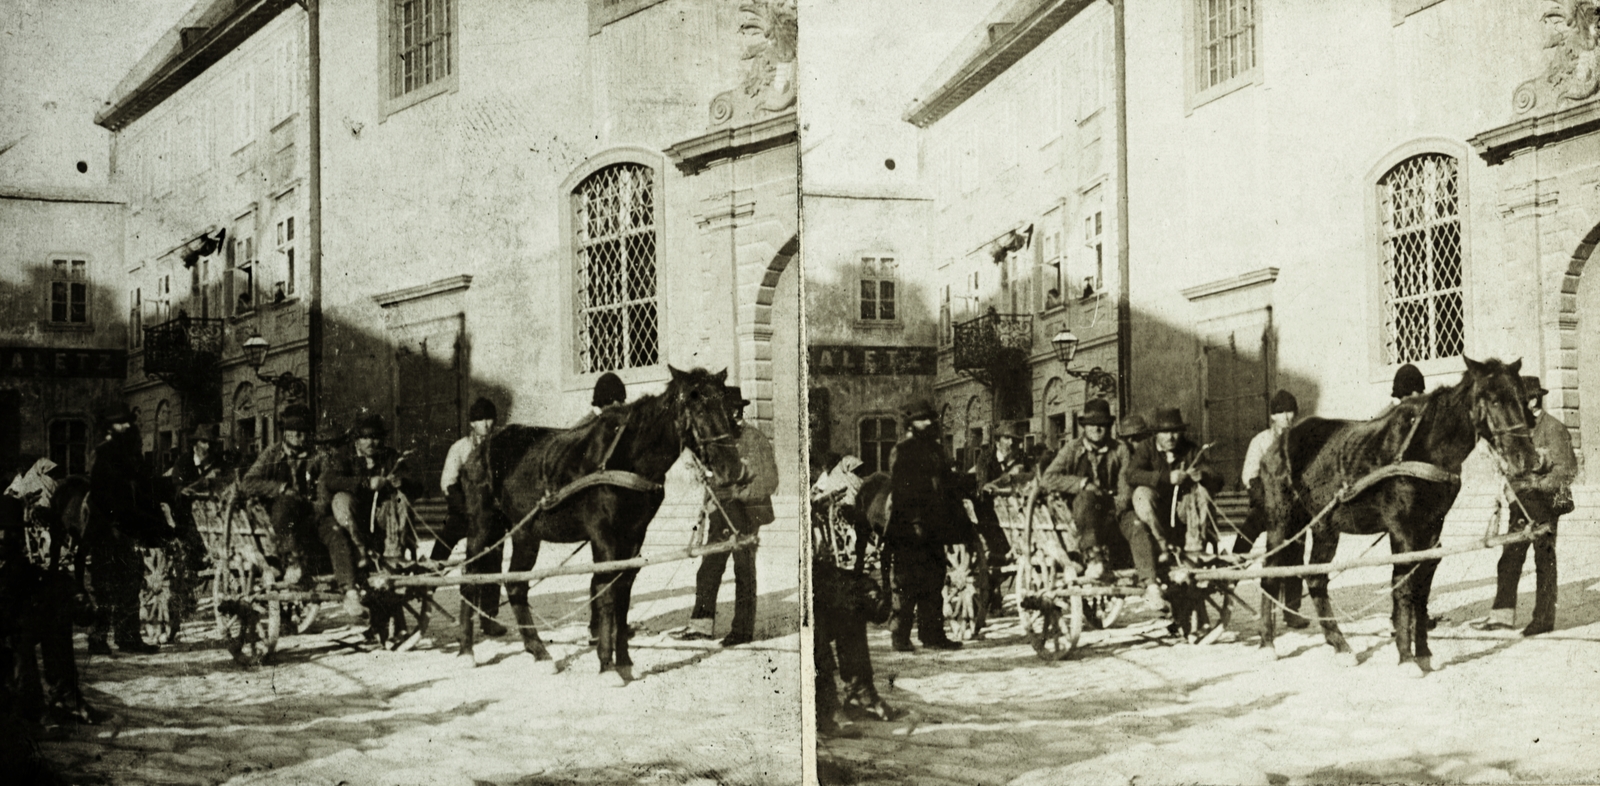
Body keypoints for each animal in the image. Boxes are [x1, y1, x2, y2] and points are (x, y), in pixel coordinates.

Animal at [457, 369, 742, 681]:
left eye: (727, 407)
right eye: (698, 408)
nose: (732, 468)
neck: (625, 458)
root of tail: (480, 448)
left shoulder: (634, 534)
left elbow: (623, 590)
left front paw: (624, 661)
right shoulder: (603, 533)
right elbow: (605, 588)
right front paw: (607, 665)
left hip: (525, 532)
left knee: (516, 585)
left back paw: (539, 651)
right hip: (483, 524)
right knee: (470, 575)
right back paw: (466, 650)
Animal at [1260, 360, 1536, 672]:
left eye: (1523, 399)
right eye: (1494, 400)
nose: (1528, 459)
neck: (1424, 449)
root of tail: (1279, 440)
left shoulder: (1432, 528)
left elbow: (1422, 586)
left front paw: (1424, 652)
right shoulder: (1402, 528)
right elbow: (1403, 585)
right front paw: (1406, 657)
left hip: (1324, 525)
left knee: (1316, 578)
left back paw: (1340, 645)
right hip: (1281, 521)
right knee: (1270, 572)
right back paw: (1267, 643)